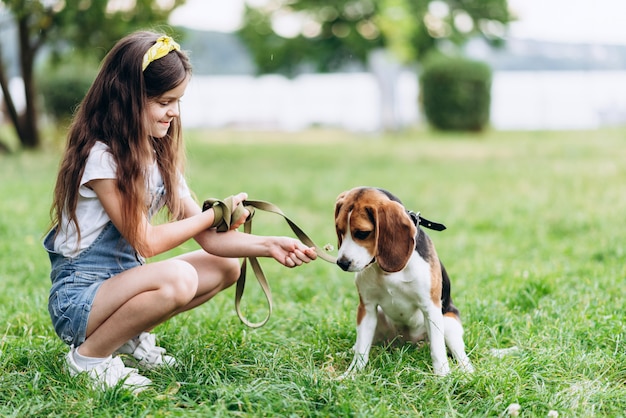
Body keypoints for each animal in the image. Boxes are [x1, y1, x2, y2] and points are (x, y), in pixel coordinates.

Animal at [334, 188, 470, 378]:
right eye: (339, 230)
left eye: (362, 233)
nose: (342, 263)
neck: (385, 270)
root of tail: (409, 344)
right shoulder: (367, 307)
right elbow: (362, 350)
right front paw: (352, 374)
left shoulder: (431, 306)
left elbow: (437, 349)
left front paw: (442, 376)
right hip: (378, 317)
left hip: (449, 322)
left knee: (459, 353)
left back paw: (467, 370)